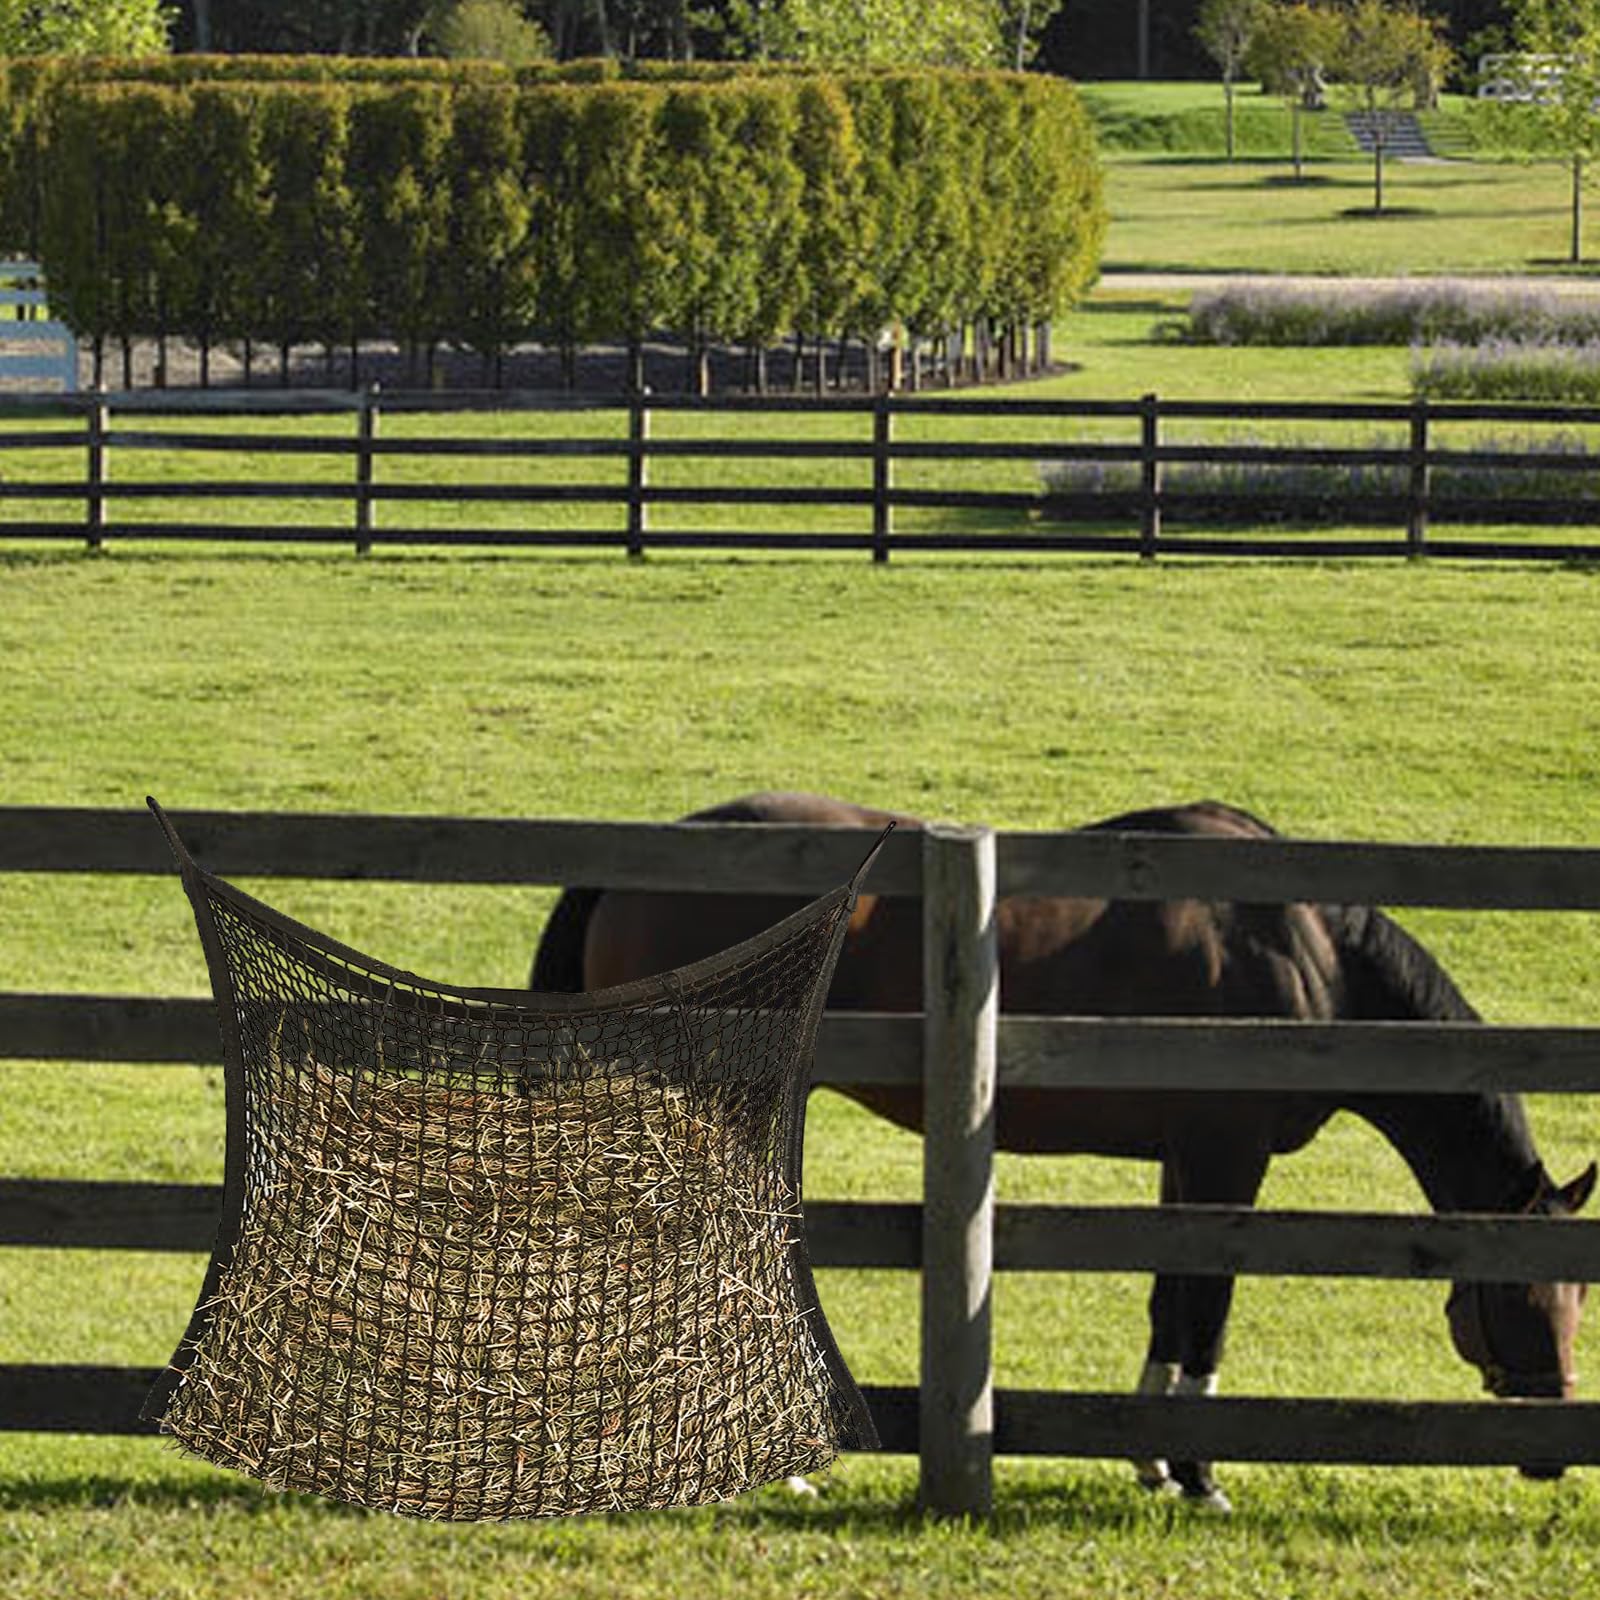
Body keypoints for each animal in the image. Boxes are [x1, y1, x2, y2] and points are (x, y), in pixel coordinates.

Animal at [530, 792, 1596, 1510]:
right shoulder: (1227, 1157)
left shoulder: (1184, 1162)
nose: (1551, 1446)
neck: (1304, 951)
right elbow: (1207, 1306)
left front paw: (1157, 1458)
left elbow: (1171, 1299)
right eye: (1523, 1291)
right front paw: (1200, 1472)